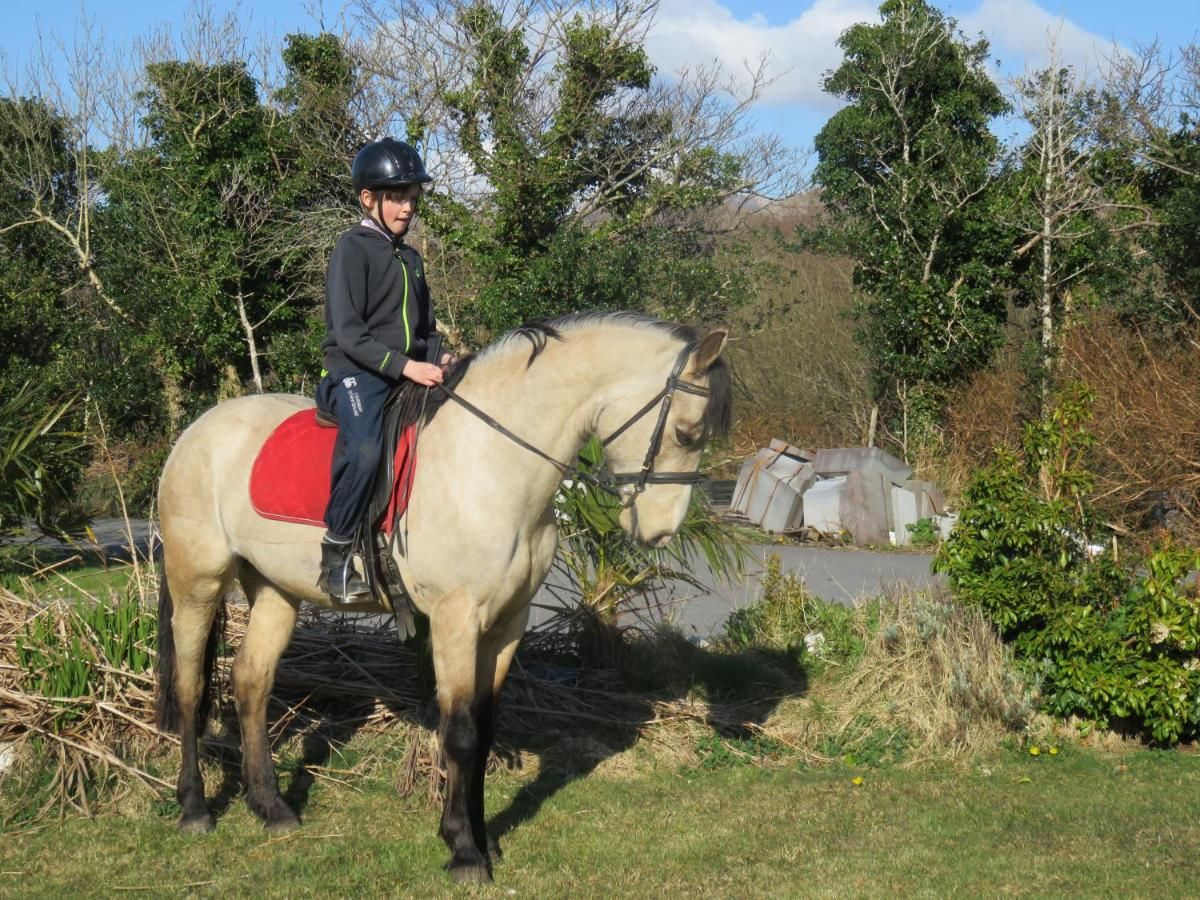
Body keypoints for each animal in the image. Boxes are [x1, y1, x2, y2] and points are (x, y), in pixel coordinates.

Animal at [152, 314, 729, 883]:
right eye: (687, 431)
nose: (660, 531)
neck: (492, 461)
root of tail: (196, 431)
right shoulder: (456, 620)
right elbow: (460, 732)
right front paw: (464, 851)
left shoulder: (507, 625)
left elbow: (485, 728)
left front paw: (482, 839)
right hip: (197, 583)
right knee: (190, 688)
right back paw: (194, 808)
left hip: (275, 592)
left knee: (252, 681)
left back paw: (271, 806)